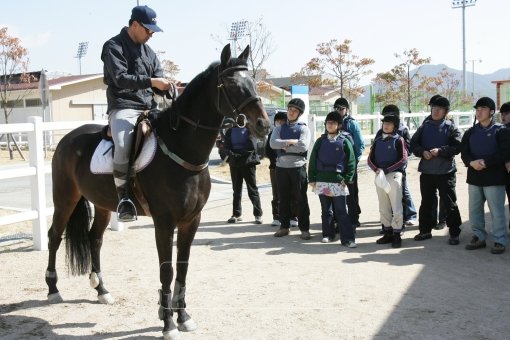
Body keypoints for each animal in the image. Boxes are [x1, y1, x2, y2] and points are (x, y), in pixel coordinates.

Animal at [45, 43, 268, 338]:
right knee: (54, 236)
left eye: (252, 81)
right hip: (65, 198)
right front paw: (168, 324)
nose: (264, 125)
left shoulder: (191, 221)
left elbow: (183, 268)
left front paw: (183, 317)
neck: (182, 149)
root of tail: (68, 139)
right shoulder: (164, 223)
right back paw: (53, 290)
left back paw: (102, 290)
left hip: (102, 205)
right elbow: (167, 271)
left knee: (95, 239)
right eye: (231, 83)